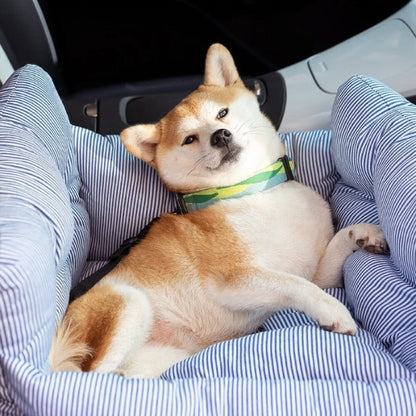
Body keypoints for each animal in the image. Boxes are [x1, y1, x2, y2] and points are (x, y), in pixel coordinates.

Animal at [48, 44, 386, 378]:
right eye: (189, 139)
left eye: (222, 113)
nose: (220, 135)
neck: (253, 190)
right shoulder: (234, 279)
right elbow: (295, 284)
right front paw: (331, 308)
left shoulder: (317, 272)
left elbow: (330, 255)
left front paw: (362, 234)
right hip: (127, 304)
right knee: (86, 377)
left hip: (159, 359)